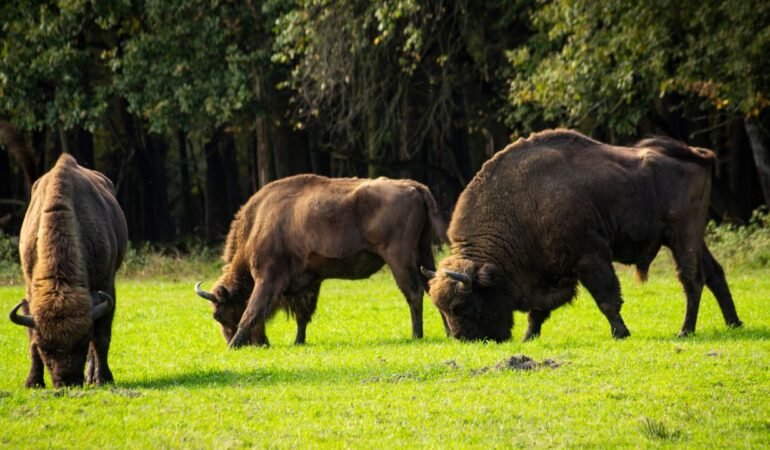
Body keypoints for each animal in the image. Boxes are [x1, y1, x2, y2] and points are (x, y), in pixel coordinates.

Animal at [9, 154, 127, 386]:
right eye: (46, 348)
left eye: (82, 341)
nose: (67, 382)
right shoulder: (30, 289)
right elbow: (31, 340)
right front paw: (33, 382)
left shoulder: (106, 285)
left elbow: (101, 337)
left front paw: (103, 378)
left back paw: (92, 376)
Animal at [195, 174, 448, 346]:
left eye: (219, 314)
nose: (258, 344)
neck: (258, 224)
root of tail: (415, 187)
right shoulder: (309, 281)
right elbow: (303, 314)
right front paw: (298, 341)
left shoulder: (267, 279)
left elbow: (253, 311)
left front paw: (234, 345)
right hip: (423, 253)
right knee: (432, 286)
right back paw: (447, 331)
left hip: (399, 258)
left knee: (413, 292)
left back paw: (416, 335)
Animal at [424, 129, 740, 342]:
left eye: (463, 306)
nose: (467, 339)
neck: (522, 206)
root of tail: (699, 155)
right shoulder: (551, 274)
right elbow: (538, 310)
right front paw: (529, 336)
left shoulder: (590, 257)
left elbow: (607, 298)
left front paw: (621, 333)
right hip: (694, 238)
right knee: (715, 274)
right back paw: (734, 323)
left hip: (682, 236)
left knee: (692, 280)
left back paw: (685, 331)